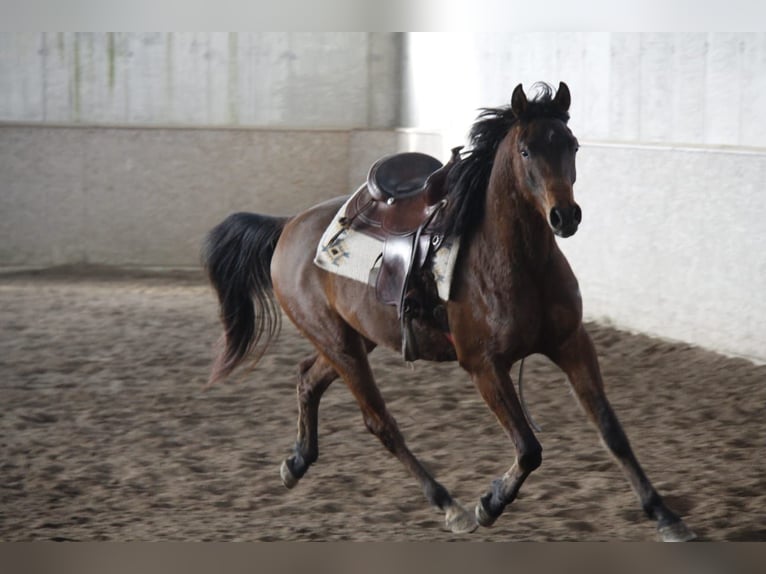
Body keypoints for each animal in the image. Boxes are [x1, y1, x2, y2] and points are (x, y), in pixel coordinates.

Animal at [202, 82, 696, 544]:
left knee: (308, 378)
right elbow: (529, 447)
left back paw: (297, 461)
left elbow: (612, 432)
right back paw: (448, 504)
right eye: (526, 149)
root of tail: (288, 225)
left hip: (352, 340)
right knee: (380, 422)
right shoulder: (483, 366)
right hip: (341, 346)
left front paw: (665, 514)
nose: (565, 216)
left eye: (571, 145)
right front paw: (489, 503)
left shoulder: (572, 343)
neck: (515, 261)